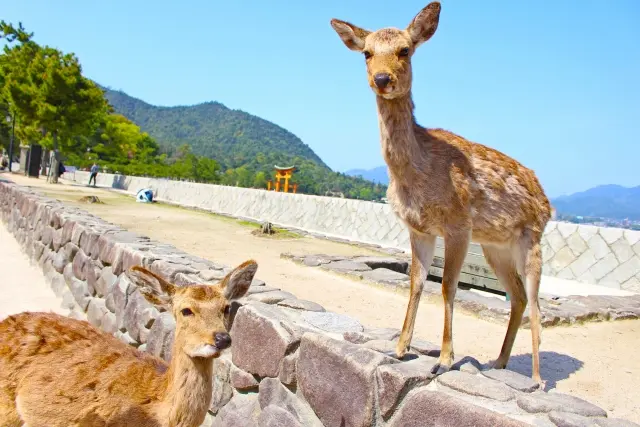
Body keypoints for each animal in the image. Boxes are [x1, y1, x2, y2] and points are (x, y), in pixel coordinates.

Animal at [330, 2, 552, 384]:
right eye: (367, 53)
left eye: (405, 50)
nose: (382, 79)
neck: (416, 172)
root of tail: (548, 202)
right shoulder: (418, 228)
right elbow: (416, 282)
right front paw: (400, 347)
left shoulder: (458, 224)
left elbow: (448, 285)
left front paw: (445, 359)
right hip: (495, 247)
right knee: (519, 296)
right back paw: (499, 362)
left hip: (531, 239)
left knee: (537, 302)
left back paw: (537, 379)